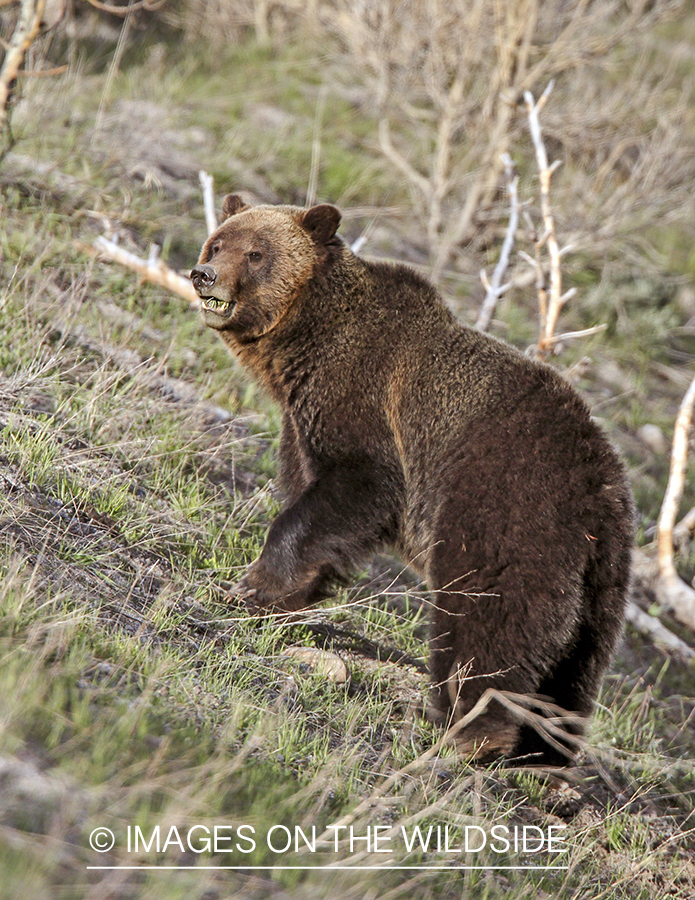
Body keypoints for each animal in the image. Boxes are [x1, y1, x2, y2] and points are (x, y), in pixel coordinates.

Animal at [190, 194, 634, 765]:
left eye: (256, 254)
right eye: (218, 242)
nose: (204, 274)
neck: (307, 341)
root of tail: (596, 484)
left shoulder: (367, 400)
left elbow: (357, 487)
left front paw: (250, 587)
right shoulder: (302, 422)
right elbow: (315, 507)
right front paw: (285, 595)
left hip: (505, 508)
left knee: (487, 617)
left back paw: (466, 730)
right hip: (603, 578)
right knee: (579, 662)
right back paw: (544, 750)